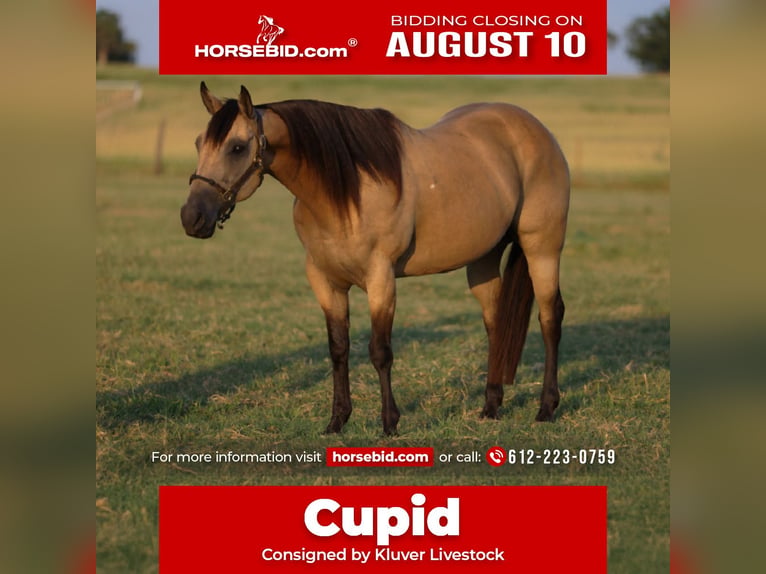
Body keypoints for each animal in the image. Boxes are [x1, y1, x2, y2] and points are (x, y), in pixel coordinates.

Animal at [181, 82, 569, 435]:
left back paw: (546, 408)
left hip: (542, 250)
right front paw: (337, 421)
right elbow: (338, 349)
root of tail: (537, 130)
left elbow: (380, 351)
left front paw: (389, 423)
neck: (344, 193)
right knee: (496, 324)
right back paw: (490, 407)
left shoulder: (380, 279)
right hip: (483, 260)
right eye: (199, 143)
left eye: (237, 147)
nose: (192, 218)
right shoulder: (325, 282)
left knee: (550, 318)